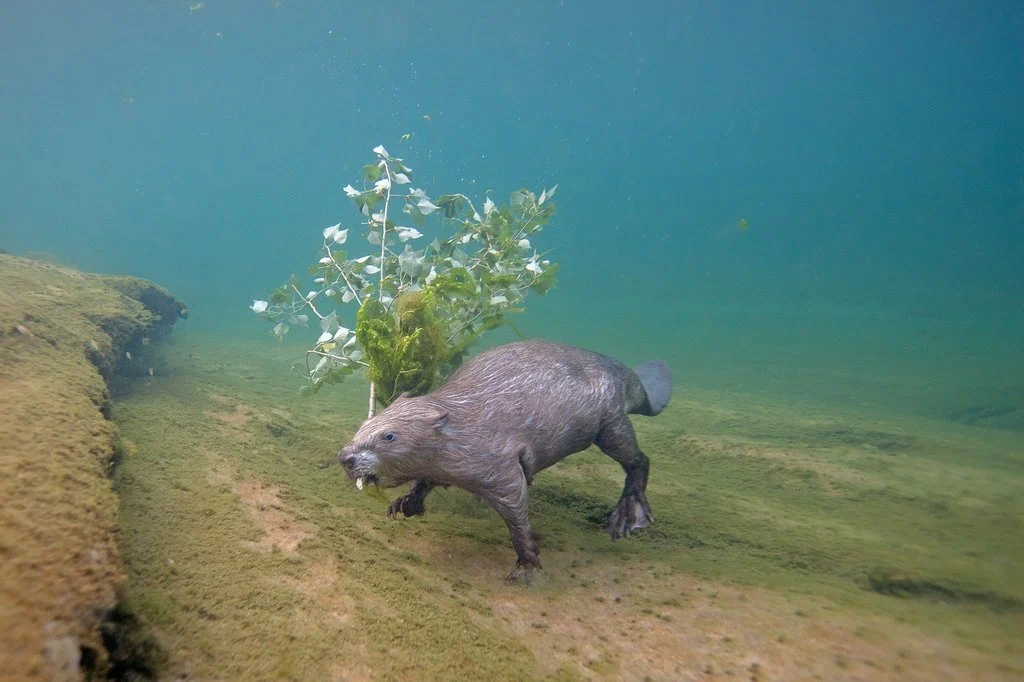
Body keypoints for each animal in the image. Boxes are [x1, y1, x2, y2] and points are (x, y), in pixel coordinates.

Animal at [337, 337, 671, 577]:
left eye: (388, 436)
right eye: (365, 424)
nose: (345, 457)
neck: (463, 421)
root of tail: (635, 381)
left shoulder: (498, 462)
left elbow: (516, 507)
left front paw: (527, 564)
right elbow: (427, 480)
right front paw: (403, 504)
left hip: (609, 423)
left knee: (638, 459)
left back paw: (627, 518)